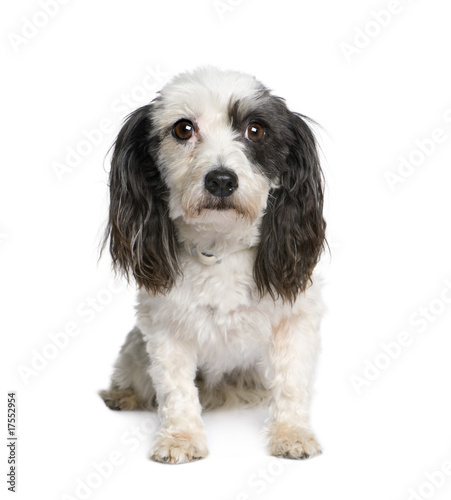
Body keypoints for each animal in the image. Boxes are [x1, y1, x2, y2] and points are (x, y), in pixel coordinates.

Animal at [100, 66, 326, 464]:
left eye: (256, 130)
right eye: (183, 129)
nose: (221, 179)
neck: (220, 249)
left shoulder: (296, 320)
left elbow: (292, 383)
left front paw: (292, 433)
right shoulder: (165, 329)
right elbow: (175, 390)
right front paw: (180, 437)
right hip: (135, 347)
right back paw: (124, 394)